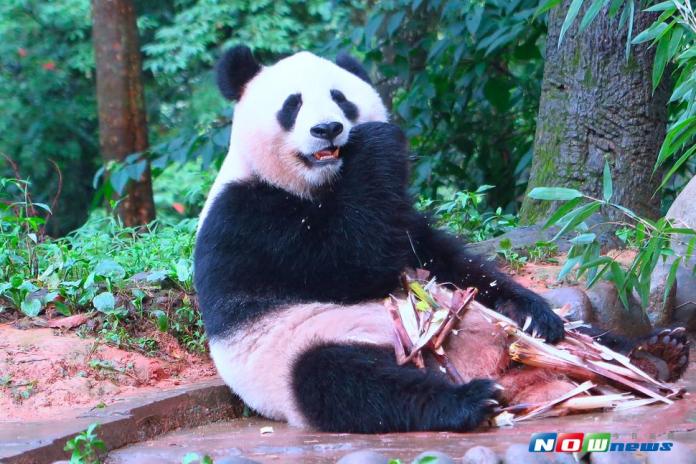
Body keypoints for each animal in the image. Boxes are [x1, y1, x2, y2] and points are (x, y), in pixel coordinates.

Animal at [193, 45, 688, 434]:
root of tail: (496, 366)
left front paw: (535, 312)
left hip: (498, 328)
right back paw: (470, 401)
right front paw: (376, 143)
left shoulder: (402, 216)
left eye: (341, 99)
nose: (328, 129)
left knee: (585, 335)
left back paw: (653, 352)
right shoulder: (249, 218)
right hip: (308, 348)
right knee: (347, 382)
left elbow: (449, 263)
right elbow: (349, 266)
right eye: (292, 105)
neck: (318, 183)